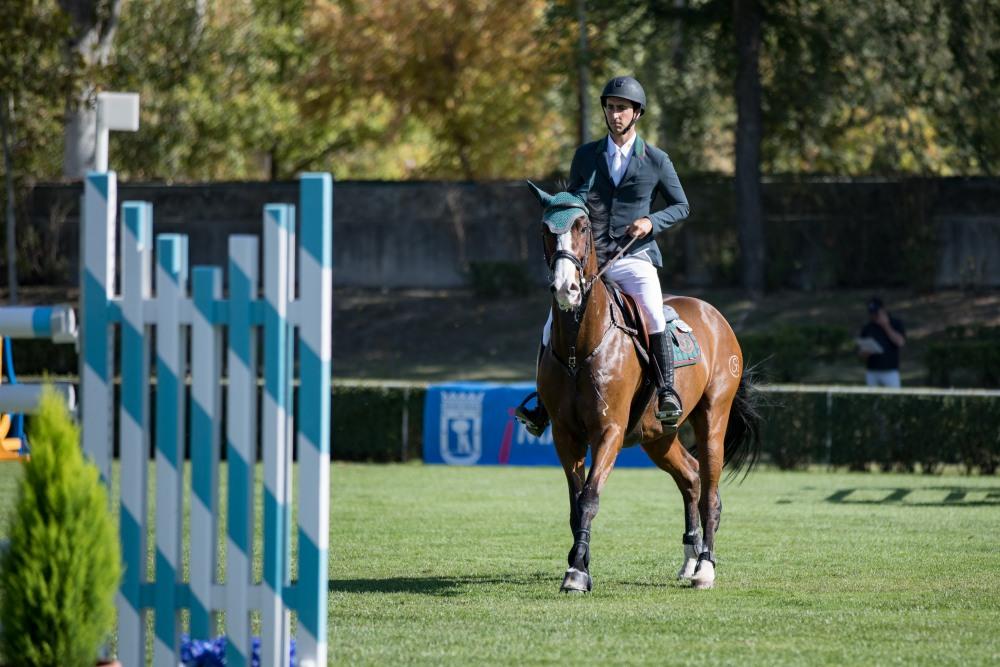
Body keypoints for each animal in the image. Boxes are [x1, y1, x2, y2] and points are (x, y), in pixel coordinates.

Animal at [528, 181, 760, 588]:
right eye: (545, 230)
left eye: (582, 227)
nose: (565, 289)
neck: (578, 345)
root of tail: (714, 315)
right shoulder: (564, 433)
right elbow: (575, 504)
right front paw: (579, 563)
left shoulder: (609, 430)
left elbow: (590, 497)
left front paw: (577, 573)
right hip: (658, 436)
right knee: (690, 478)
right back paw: (690, 560)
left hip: (712, 418)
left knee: (709, 491)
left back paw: (706, 568)